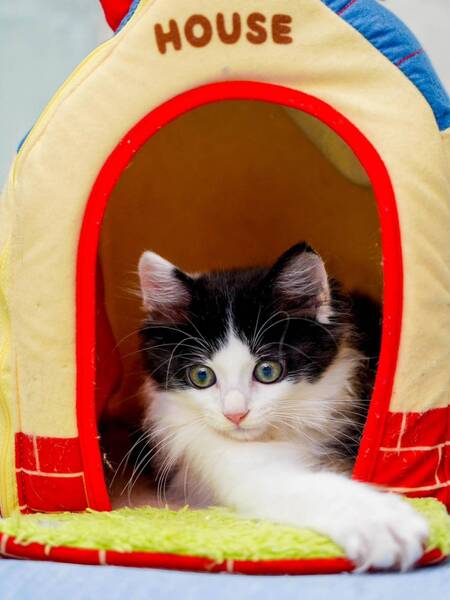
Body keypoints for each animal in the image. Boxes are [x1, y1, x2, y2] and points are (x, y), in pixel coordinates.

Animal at [137, 242, 428, 571]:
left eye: (267, 371)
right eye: (201, 376)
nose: (235, 414)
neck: (277, 432)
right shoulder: (214, 455)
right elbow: (295, 485)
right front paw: (384, 524)